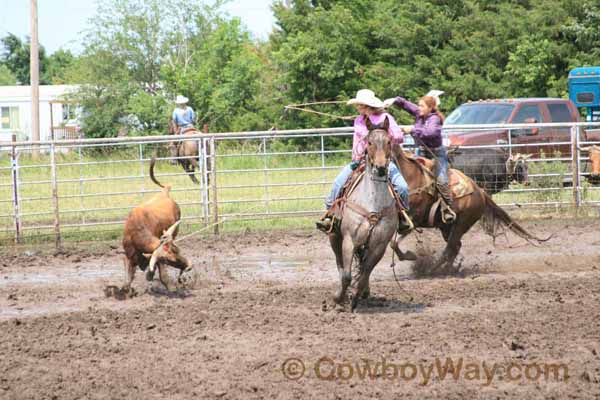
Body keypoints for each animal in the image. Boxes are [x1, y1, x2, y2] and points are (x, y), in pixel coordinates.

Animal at [328, 115, 398, 310]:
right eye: (369, 142)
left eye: (389, 141)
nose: (380, 168)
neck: (372, 202)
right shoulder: (349, 240)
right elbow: (346, 274)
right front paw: (338, 299)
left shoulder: (379, 246)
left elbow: (365, 272)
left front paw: (356, 297)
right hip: (334, 236)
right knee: (340, 264)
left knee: (363, 269)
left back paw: (364, 292)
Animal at [390, 145, 548, 274]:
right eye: (520, 167)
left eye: (526, 166)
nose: (527, 182)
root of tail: (479, 193)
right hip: (447, 227)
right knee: (454, 247)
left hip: (459, 225)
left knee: (451, 248)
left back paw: (437, 270)